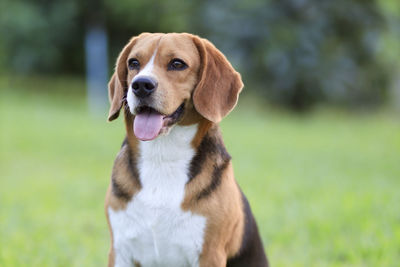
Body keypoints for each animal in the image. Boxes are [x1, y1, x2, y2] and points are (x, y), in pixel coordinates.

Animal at [106, 32, 268, 266]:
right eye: (133, 63)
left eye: (177, 64)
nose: (141, 85)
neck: (162, 156)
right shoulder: (120, 251)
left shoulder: (209, 254)